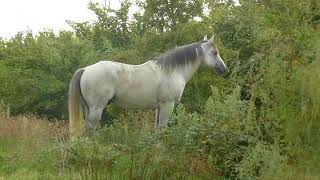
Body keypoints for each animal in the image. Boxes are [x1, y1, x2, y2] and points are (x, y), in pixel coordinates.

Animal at [69, 33, 228, 137]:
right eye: (214, 52)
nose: (224, 69)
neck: (172, 71)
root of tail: (85, 69)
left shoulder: (159, 107)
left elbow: (157, 130)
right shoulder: (167, 105)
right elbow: (162, 129)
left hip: (90, 108)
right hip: (97, 108)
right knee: (90, 129)